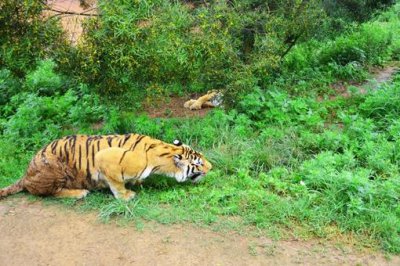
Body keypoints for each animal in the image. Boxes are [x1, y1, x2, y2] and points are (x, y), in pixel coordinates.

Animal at [0, 134, 212, 201]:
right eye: (199, 163)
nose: (212, 167)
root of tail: (25, 174)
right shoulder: (104, 158)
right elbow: (116, 183)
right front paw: (126, 196)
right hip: (54, 168)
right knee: (50, 193)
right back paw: (78, 193)